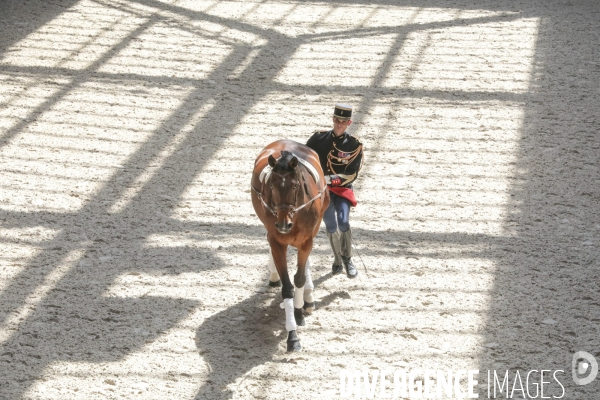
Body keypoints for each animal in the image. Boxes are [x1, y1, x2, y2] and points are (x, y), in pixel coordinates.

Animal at [251, 140, 330, 350]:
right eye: (271, 185)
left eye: (295, 187)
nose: (283, 224)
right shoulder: (277, 242)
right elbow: (287, 287)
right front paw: (292, 336)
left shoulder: (306, 241)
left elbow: (299, 278)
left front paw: (299, 311)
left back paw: (308, 299)